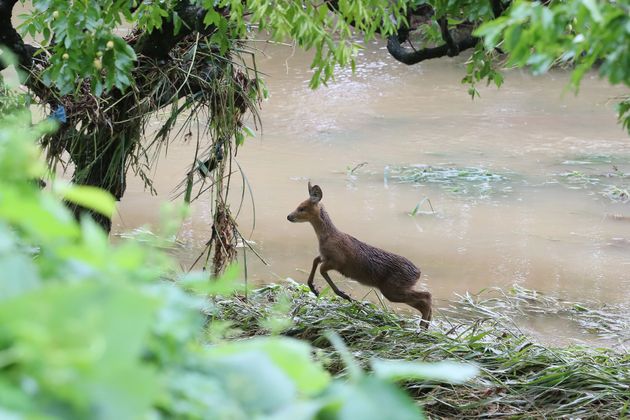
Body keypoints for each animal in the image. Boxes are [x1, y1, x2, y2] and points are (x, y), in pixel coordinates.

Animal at [288, 182, 432, 326]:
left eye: (302, 208)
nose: (289, 216)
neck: (327, 237)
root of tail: (418, 272)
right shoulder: (325, 256)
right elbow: (315, 260)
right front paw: (313, 287)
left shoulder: (338, 260)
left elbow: (322, 269)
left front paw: (342, 294)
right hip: (395, 289)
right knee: (425, 299)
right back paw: (426, 325)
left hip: (393, 288)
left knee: (426, 297)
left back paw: (422, 326)